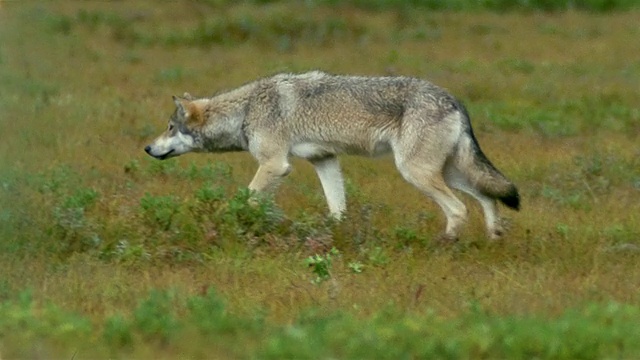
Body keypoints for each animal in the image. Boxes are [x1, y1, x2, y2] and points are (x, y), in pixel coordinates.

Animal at [145, 70, 520, 240]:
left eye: (169, 127)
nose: (147, 148)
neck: (246, 110)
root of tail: (454, 100)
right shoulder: (324, 161)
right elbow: (337, 208)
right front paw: (335, 237)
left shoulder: (275, 165)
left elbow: (246, 200)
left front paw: (230, 225)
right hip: (449, 172)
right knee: (488, 197)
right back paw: (494, 237)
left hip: (418, 173)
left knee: (459, 208)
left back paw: (445, 243)